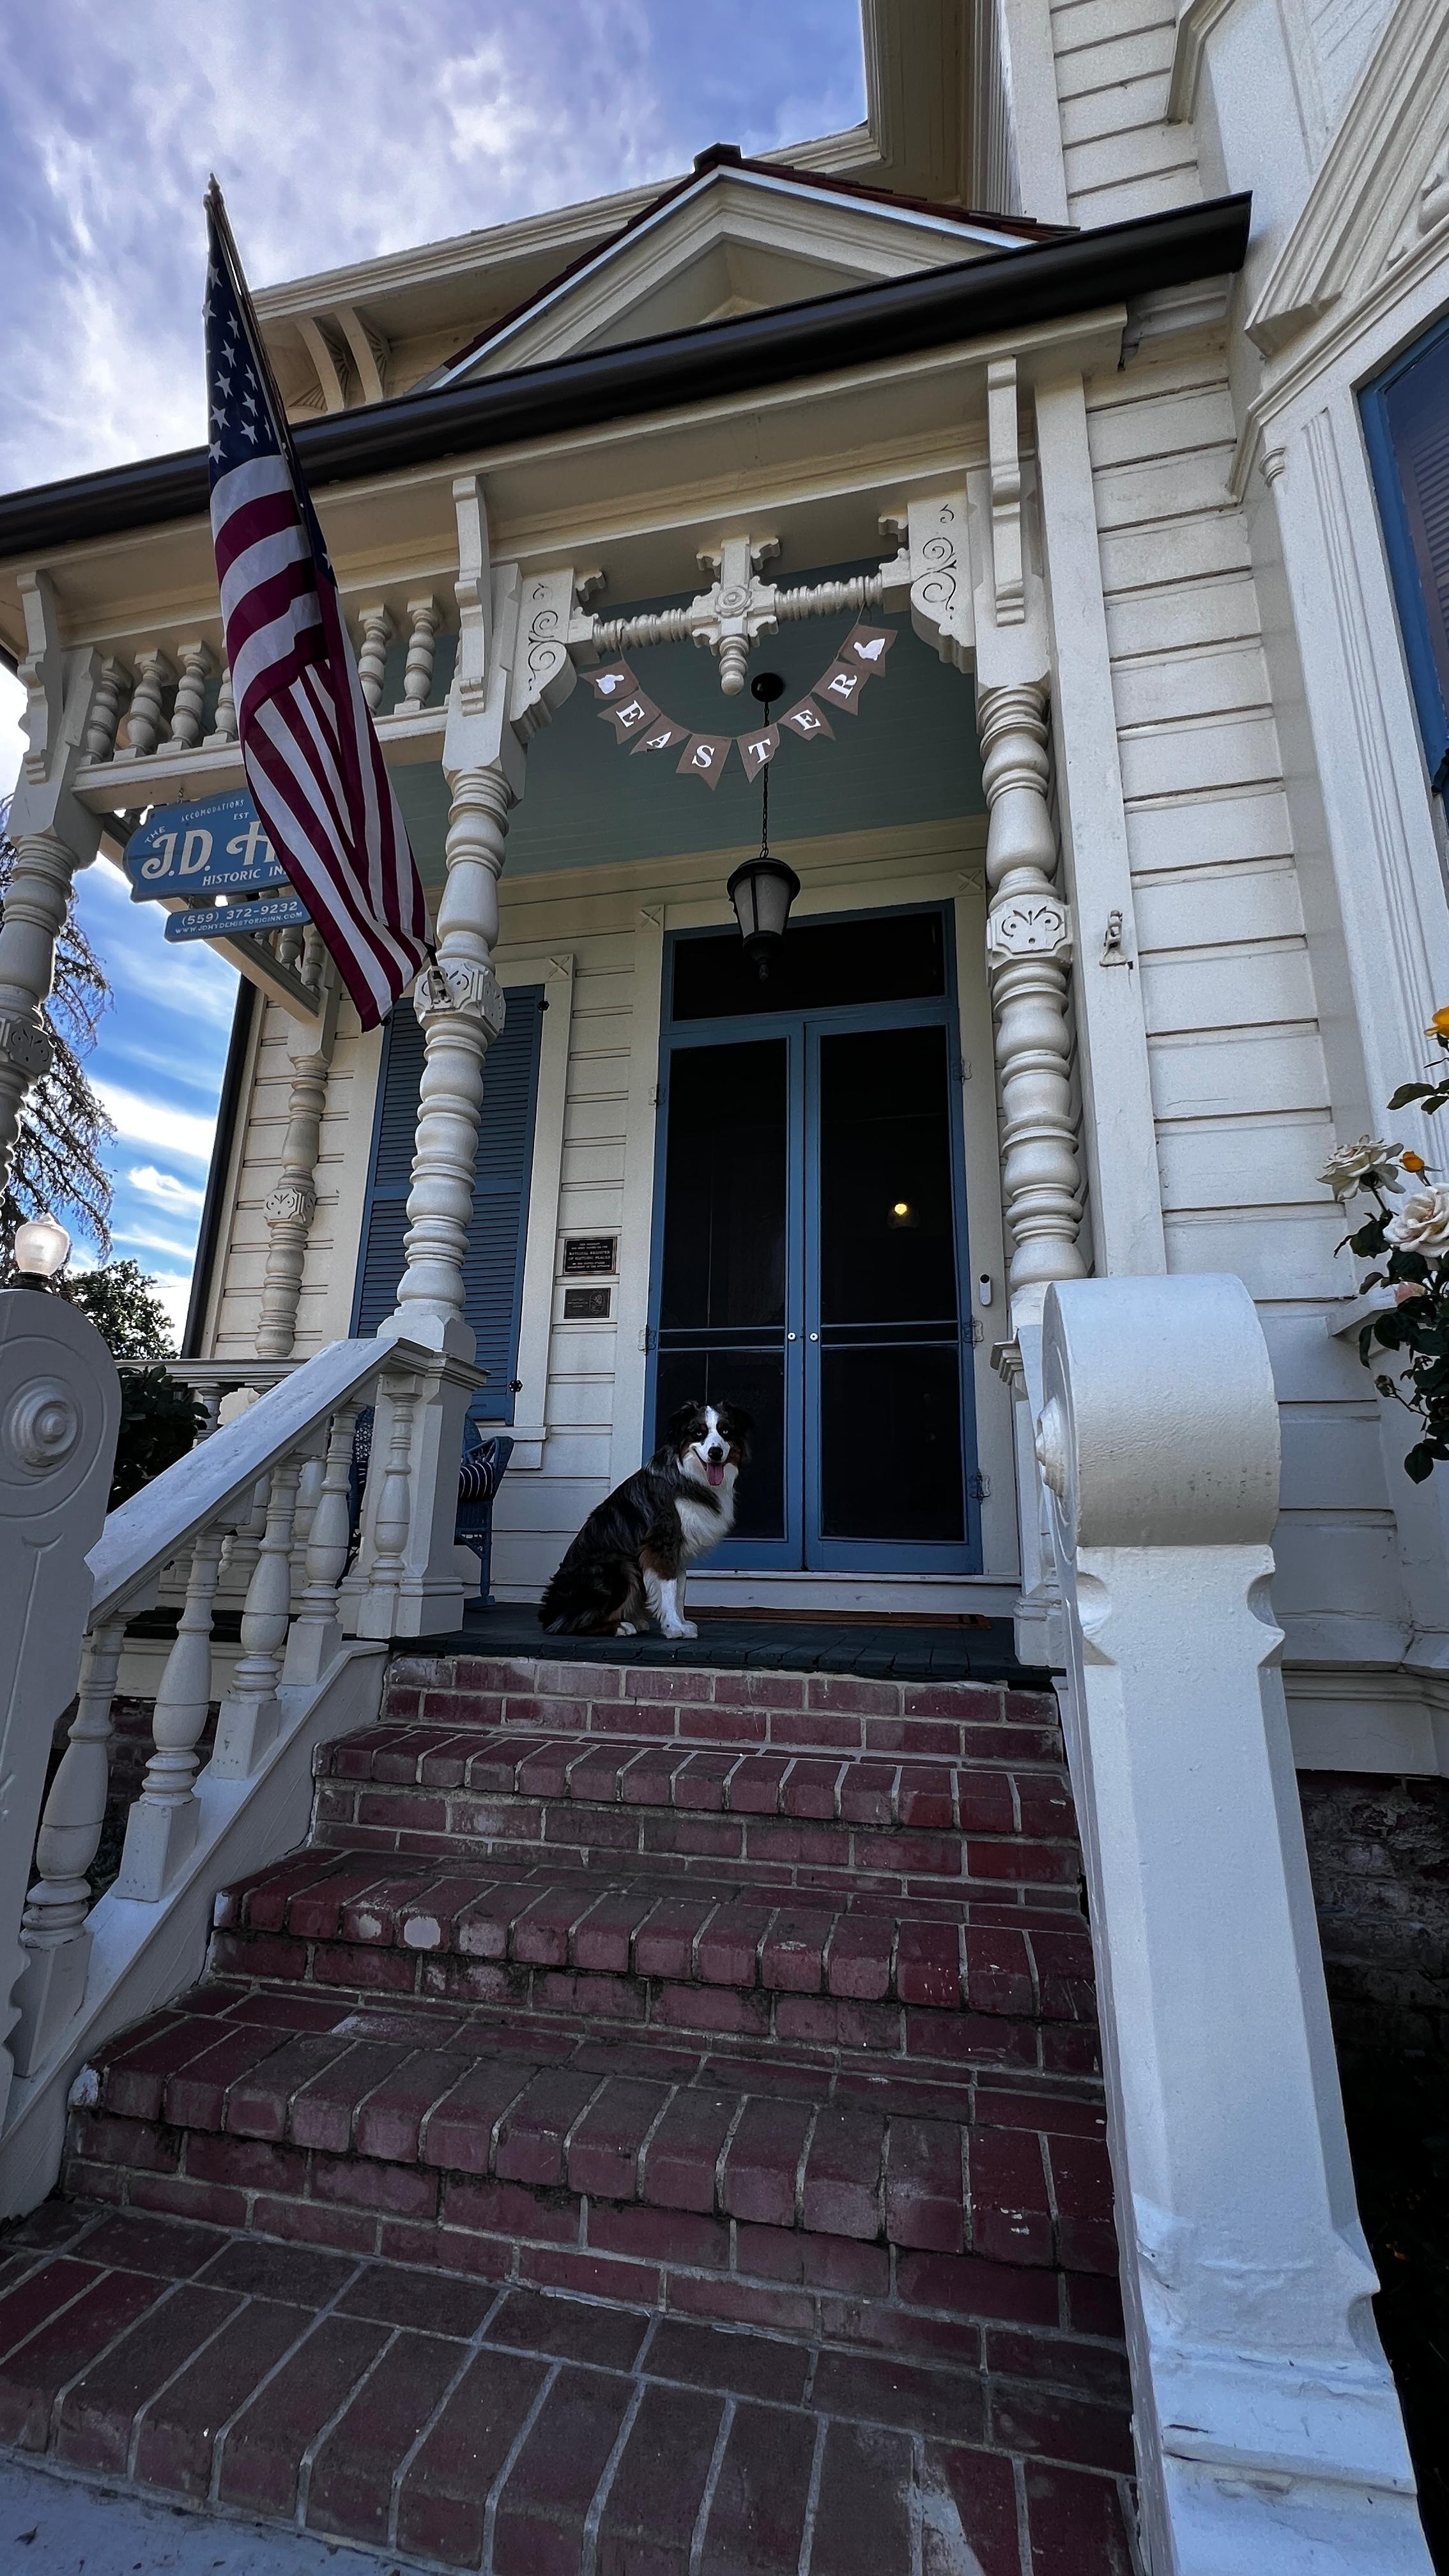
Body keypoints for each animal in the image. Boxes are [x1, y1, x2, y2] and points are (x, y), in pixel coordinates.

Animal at [539, 1400, 753, 1639]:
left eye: (725, 1431)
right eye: (699, 1432)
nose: (716, 1453)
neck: (690, 1476)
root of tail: (549, 1612)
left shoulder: (679, 1548)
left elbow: (681, 1589)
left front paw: (682, 1623)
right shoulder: (662, 1541)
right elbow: (670, 1587)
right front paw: (674, 1628)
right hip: (619, 1565)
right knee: (568, 1625)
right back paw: (622, 1626)